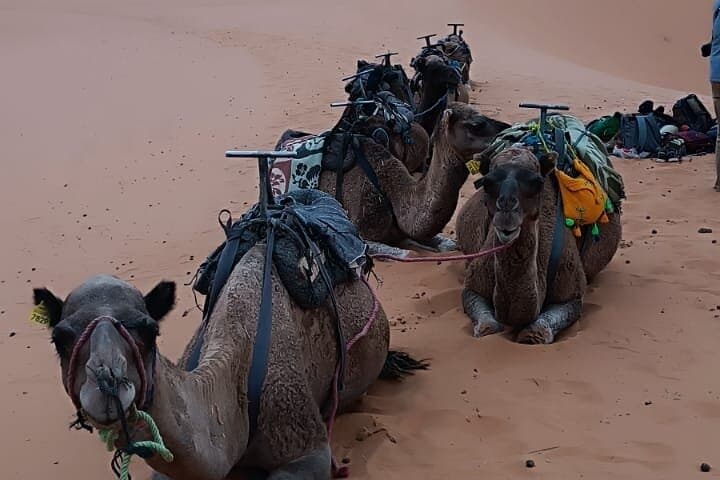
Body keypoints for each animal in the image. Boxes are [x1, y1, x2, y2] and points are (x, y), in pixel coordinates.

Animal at [277, 102, 510, 257]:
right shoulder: (361, 234)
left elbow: (448, 244)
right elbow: (409, 253)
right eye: (477, 124)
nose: (507, 129)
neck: (393, 193)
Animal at [455, 147, 622, 344]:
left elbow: (537, 332)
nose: (506, 213)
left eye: (538, 182)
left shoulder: (571, 295)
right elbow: (488, 326)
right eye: (487, 182)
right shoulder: (473, 287)